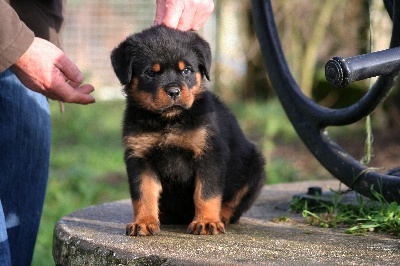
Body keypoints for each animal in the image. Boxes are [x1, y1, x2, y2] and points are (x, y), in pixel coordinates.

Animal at [110, 26, 266, 236]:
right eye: (150, 72)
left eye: (186, 70)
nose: (174, 92)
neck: (169, 121)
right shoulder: (139, 157)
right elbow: (143, 193)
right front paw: (143, 222)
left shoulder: (209, 154)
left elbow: (206, 192)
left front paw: (207, 222)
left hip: (254, 166)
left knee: (235, 204)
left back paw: (221, 216)